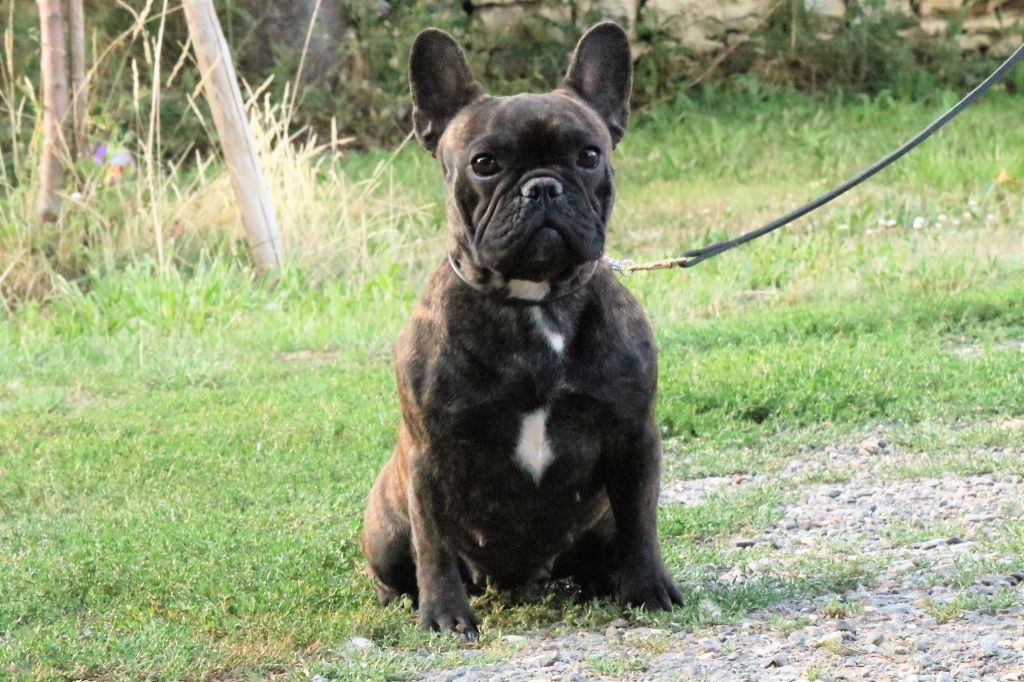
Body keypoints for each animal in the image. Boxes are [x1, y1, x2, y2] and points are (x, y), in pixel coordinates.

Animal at [361, 22, 682, 640]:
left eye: (589, 155)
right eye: (484, 163)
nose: (543, 187)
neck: (534, 303)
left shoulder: (633, 436)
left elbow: (642, 522)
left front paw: (649, 588)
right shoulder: (429, 453)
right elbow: (433, 543)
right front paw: (444, 615)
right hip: (386, 528)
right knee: (401, 562)